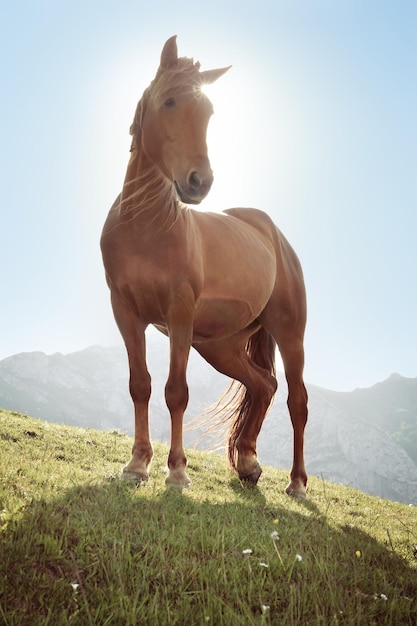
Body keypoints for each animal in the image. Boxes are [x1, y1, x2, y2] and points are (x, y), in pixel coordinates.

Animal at [100, 35, 308, 498]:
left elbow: (176, 392)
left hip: (289, 334)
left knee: (297, 401)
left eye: (210, 112)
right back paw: (247, 463)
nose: (200, 182)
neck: (147, 227)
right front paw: (137, 464)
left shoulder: (179, 314)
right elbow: (140, 385)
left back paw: (297, 483)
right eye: (169, 101)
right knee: (263, 385)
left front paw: (177, 472)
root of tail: (273, 234)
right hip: (220, 346)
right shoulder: (126, 312)